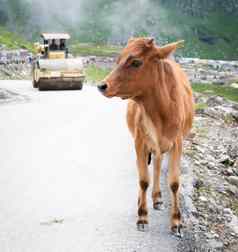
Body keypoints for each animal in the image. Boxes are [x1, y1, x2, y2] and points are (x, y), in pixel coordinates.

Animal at [97, 37, 194, 236]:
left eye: (136, 62)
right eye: (118, 60)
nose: (102, 86)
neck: (159, 113)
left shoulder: (177, 142)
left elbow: (174, 183)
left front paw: (176, 222)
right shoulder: (140, 141)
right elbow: (143, 180)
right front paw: (142, 216)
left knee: (157, 165)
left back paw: (157, 198)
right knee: (149, 169)